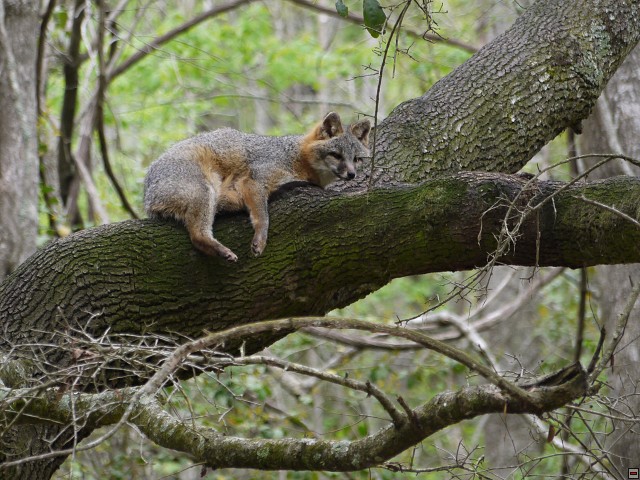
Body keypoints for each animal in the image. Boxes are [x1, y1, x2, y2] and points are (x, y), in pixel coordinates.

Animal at [144, 112, 371, 262]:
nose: (352, 174)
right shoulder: (254, 180)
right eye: (336, 155)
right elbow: (263, 216)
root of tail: (147, 196)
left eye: (357, 159)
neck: (295, 157)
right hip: (206, 190)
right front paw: (260, 240)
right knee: (197, 236)